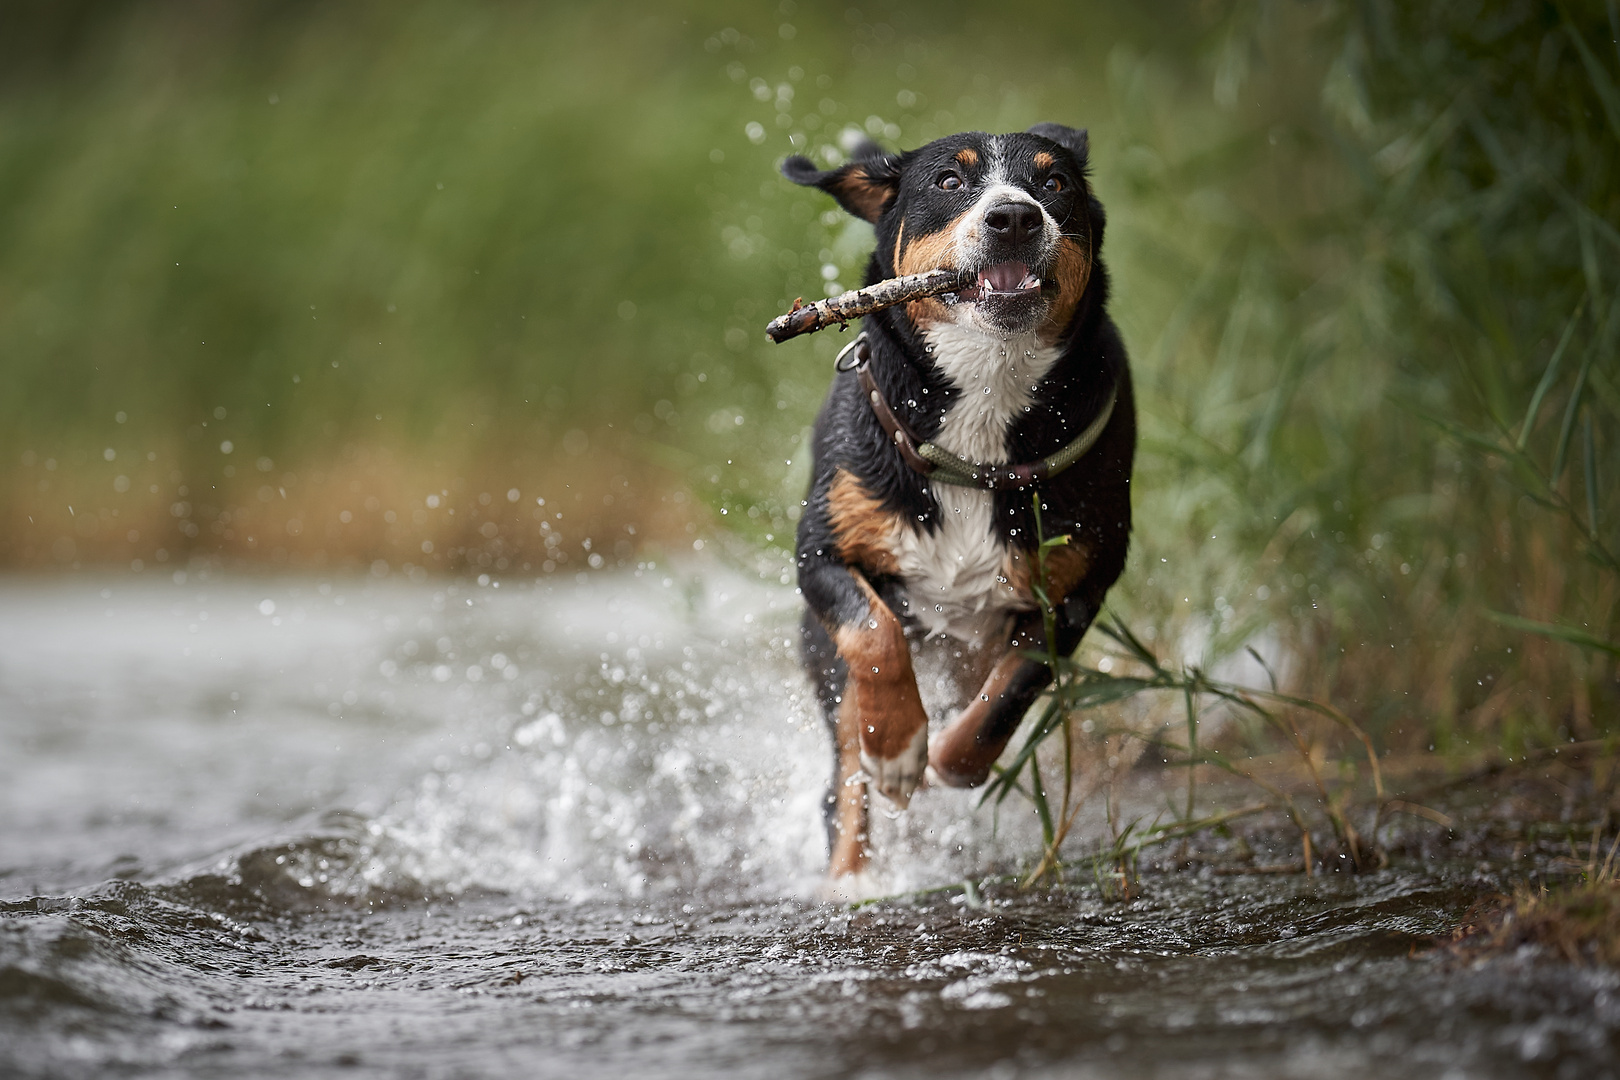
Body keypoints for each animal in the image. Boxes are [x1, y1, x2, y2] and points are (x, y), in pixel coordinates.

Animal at [784, 124, 1140, 880]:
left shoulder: (1079, 587)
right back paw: (852, 881)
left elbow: (1011, 690)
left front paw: (950, 759)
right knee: (843, 783)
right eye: (949, 181)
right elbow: (875, 634)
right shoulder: (820, 553)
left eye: (1053, 183)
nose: (1014, 217)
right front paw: (898, 748)